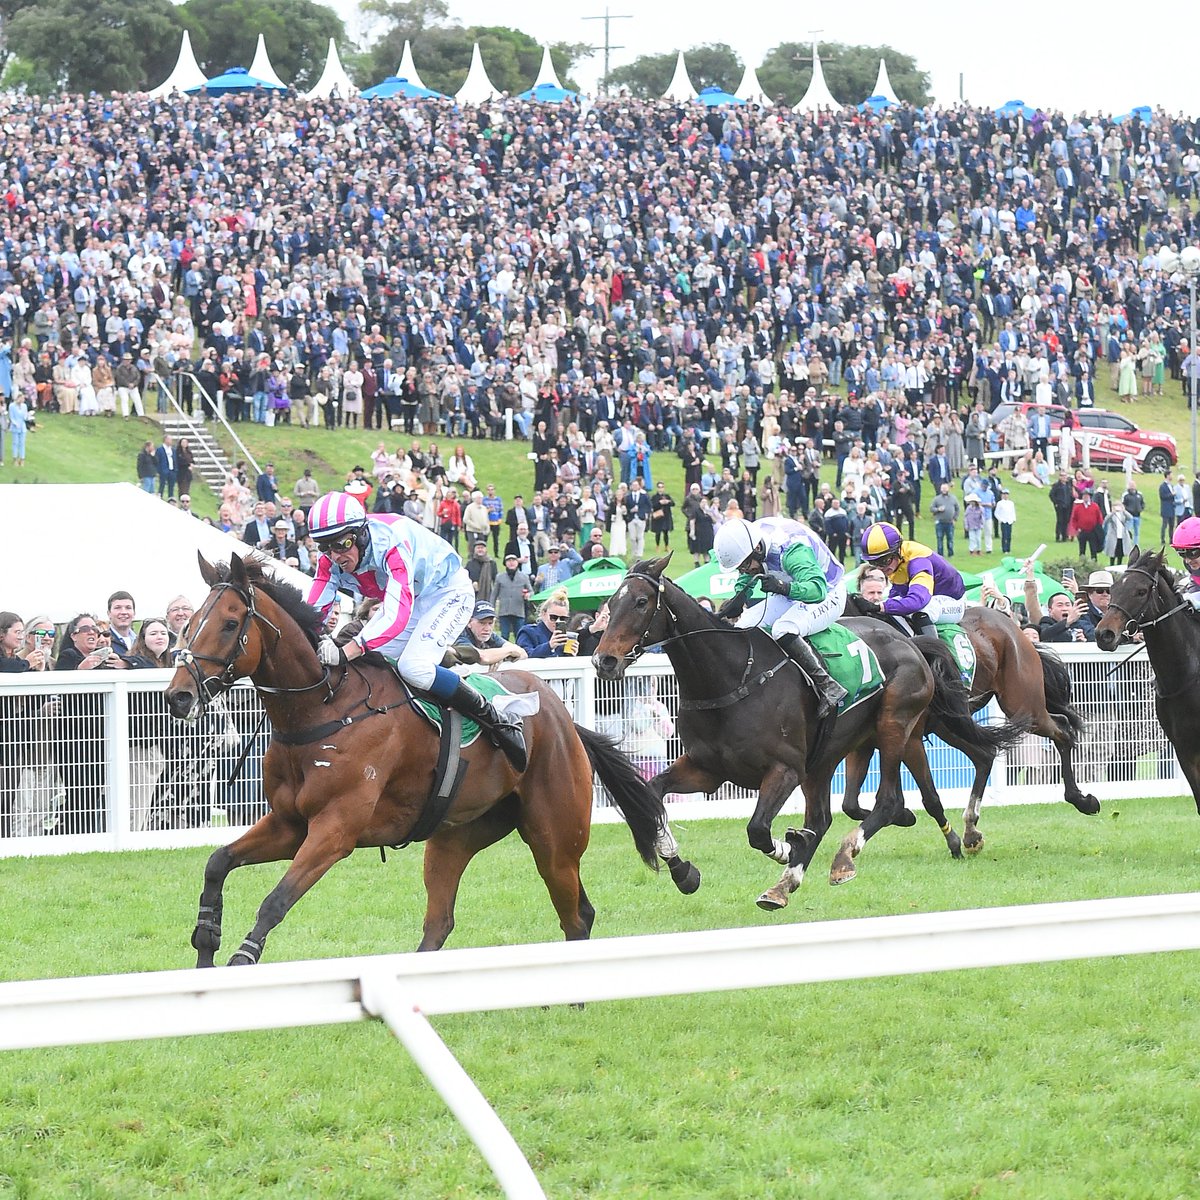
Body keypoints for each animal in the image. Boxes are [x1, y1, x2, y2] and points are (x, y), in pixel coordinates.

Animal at [164, 549, 691, 964]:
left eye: (230, 623)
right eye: (187, 625)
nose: (178, 697)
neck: (323, 709)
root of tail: (564, 720)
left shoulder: (335, 830)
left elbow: (274, 902)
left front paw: (240, 961)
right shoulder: (290, 824)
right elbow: (217, 863)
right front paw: (205, 944)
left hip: (555, 837)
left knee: (577, 916)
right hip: (453, 838)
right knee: (440, 923)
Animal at [590, 556, 1022, 902]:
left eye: (641, 602)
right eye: (609, 603)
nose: (603, 661)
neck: (730, 677)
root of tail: (910, 642)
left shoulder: (784, 769)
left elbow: (758, 830)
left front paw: (786, 846)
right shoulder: (706, 769)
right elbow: (652, 795)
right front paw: (684, 872)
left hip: (895, 725)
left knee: (888, 801)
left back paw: (845, 856)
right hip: (829, 754)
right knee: (826, 818)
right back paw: (785, 884)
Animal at [844, 595, 1099, 849]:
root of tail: (1014, 628)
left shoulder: (908, 736)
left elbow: (928, 797)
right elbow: (850, 804)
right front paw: (902, 815)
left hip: (1024, 706)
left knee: (1062, 728)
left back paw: (1082, 799)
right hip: (951, 723)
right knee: (985, 755)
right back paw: (971, 828)